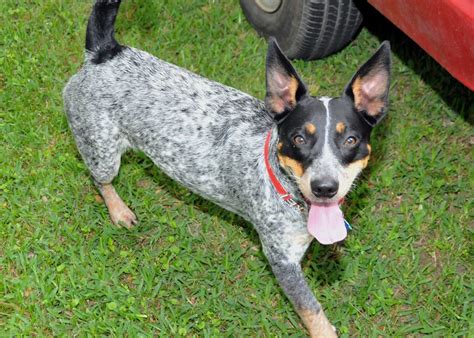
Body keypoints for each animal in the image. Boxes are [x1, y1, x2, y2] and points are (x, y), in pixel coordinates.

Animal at [63, 1, 390, 336]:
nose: (324, 187)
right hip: (102, 151)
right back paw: (119, 210)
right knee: (101, 181)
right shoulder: (283, 261)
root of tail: (105, 51)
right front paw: (324, 330)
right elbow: (311, 309)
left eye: (350, 139)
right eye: (299, 138)